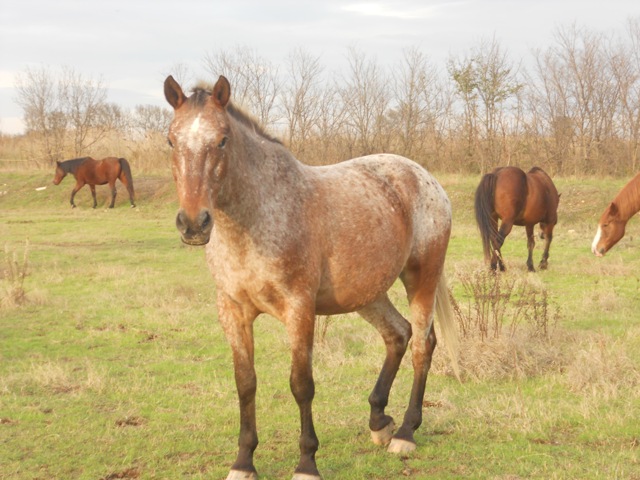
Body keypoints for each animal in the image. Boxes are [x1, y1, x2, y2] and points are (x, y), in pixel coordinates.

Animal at [164, 74, 459, 480]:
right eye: (171, 140)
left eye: (222, 139)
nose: (194, 224)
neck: (258, 216)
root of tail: (424, 177)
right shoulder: (233, 310)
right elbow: (245, 383)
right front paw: (243, 462)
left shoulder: (299, 308)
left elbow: (301, 385)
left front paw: (306, 463)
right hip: (367, 294)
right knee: (398, 334)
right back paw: (379, 420)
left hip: (422, 278)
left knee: (422, 346)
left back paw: (405, 432)